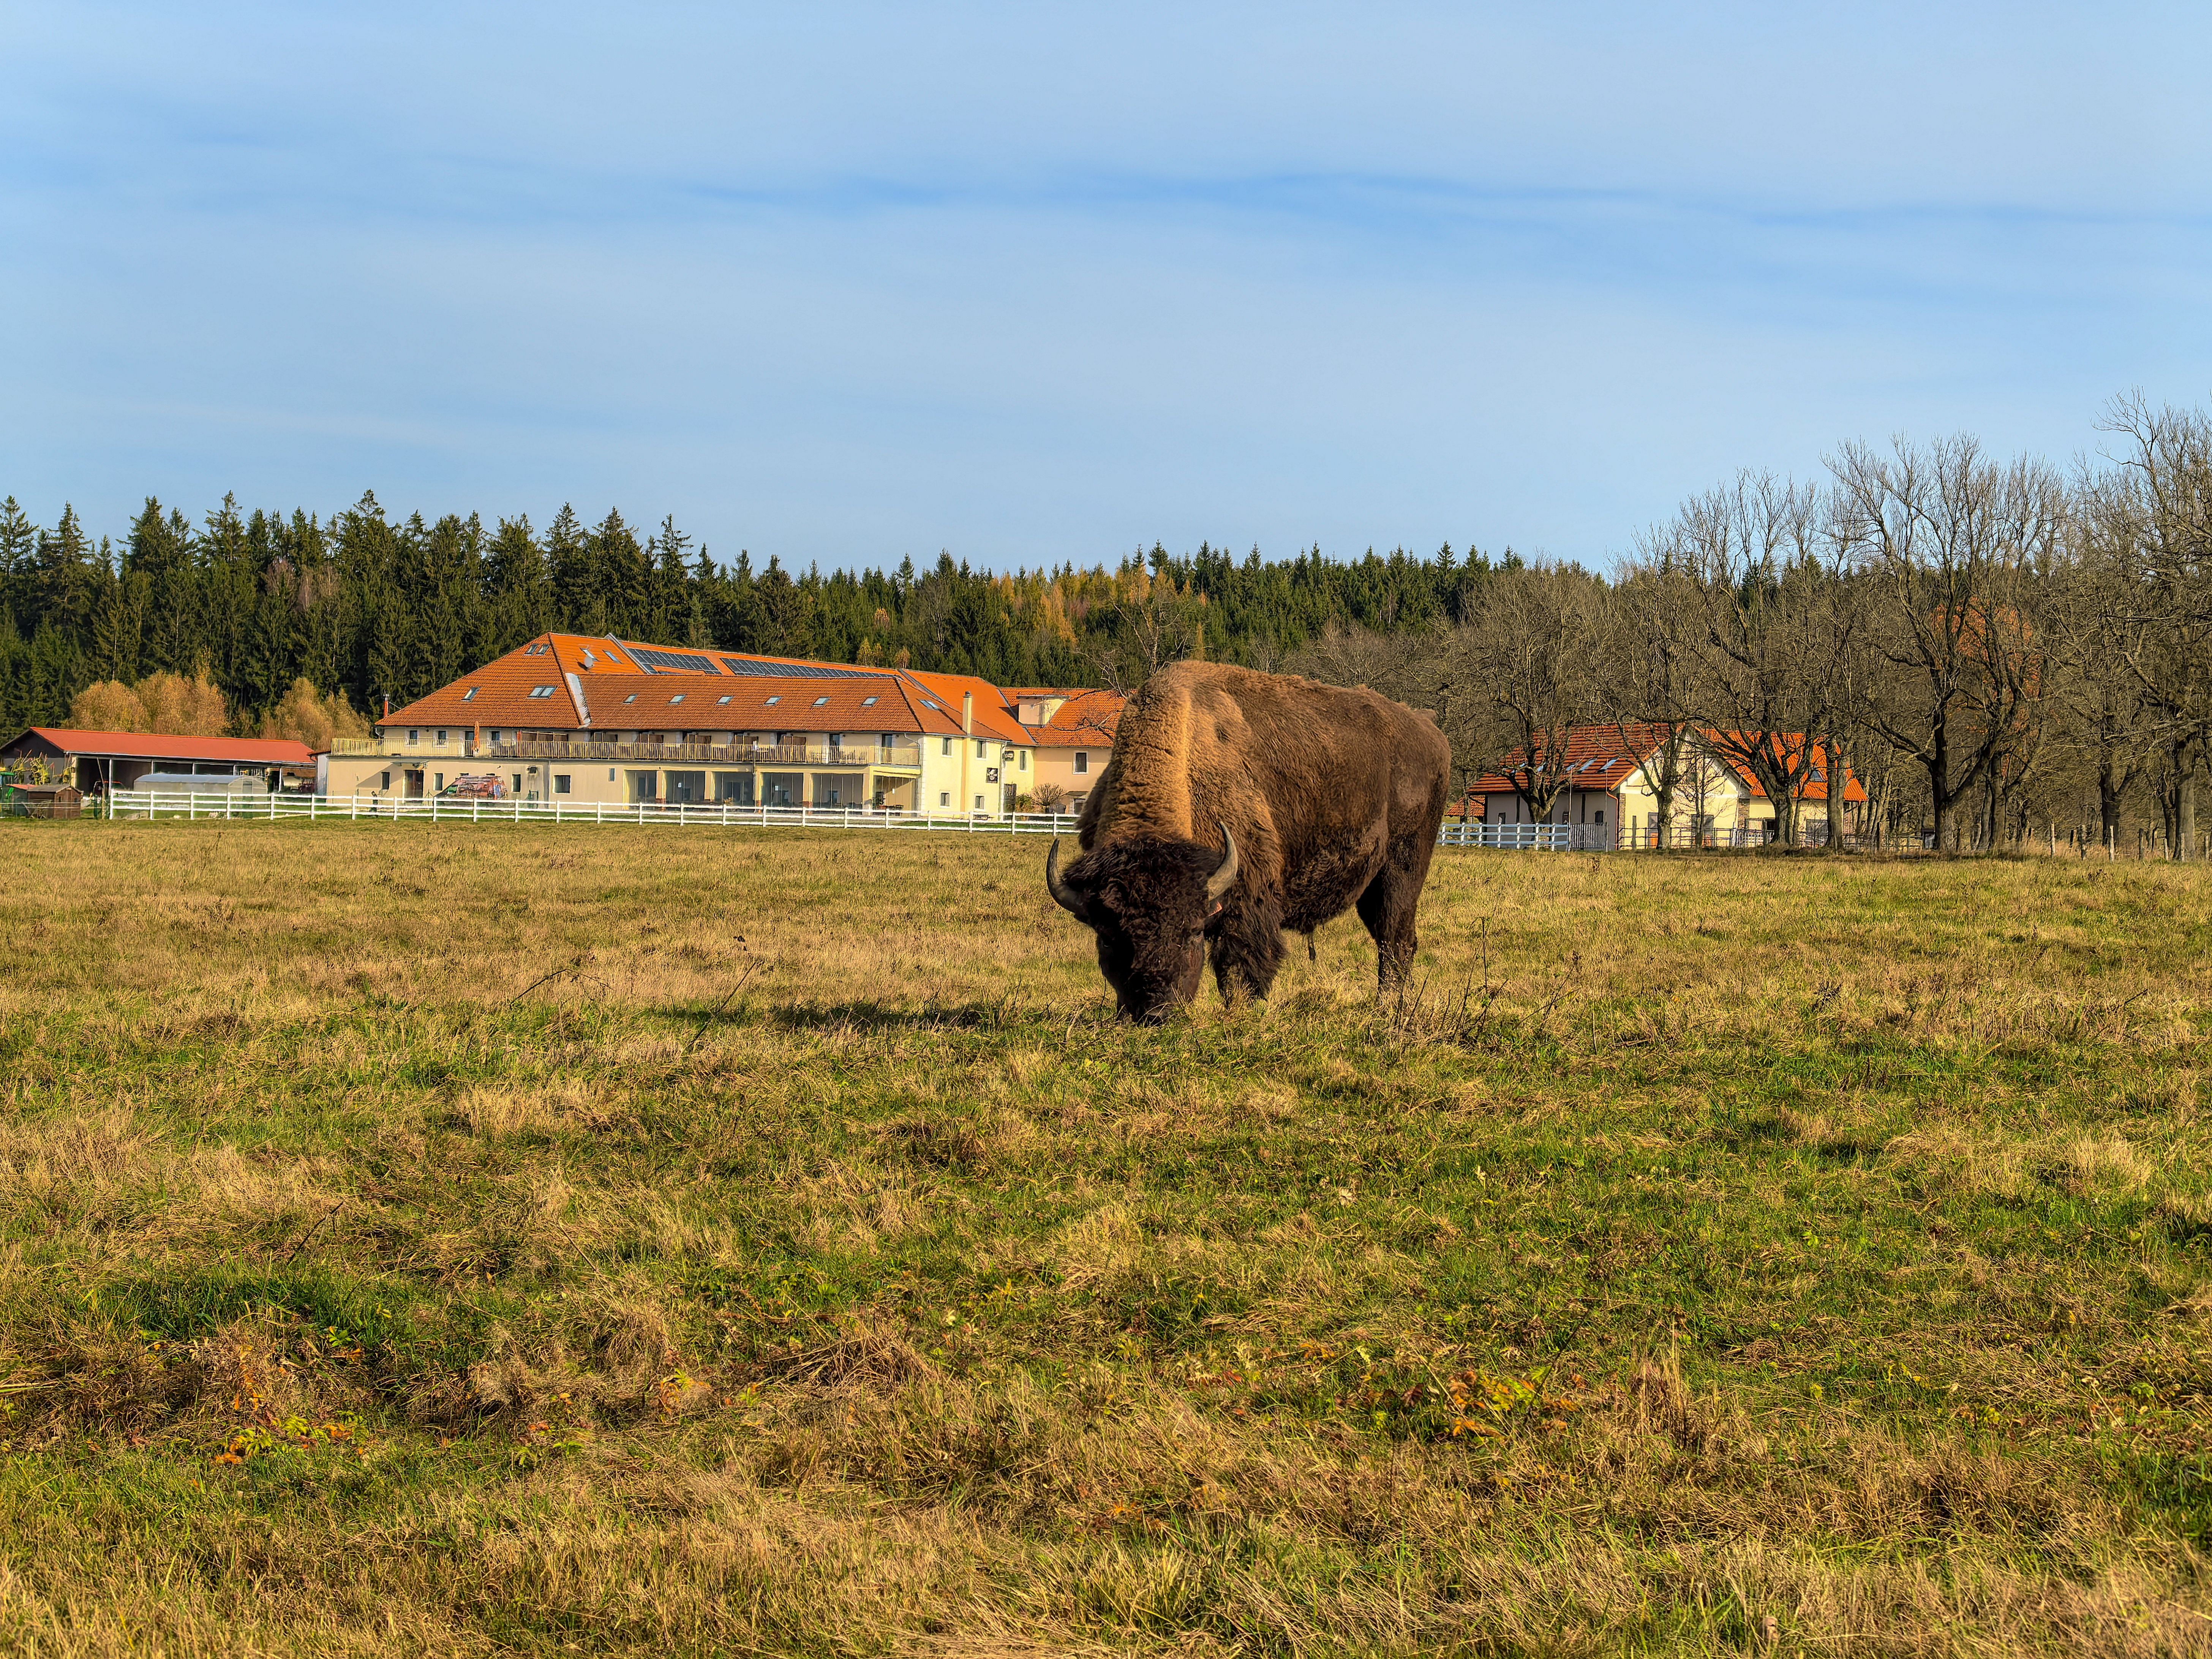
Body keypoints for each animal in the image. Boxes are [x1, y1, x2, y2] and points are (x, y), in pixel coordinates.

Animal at [1045, 661, 1450, 1021]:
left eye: (1192, 932)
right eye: (1108, 937)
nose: (1157, 1012)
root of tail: (1429, 729)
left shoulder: (1247, 897)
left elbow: (1240, 968)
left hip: (1402, 869)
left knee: (1395, 940)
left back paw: (1388, 1009)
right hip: (1369, 886)